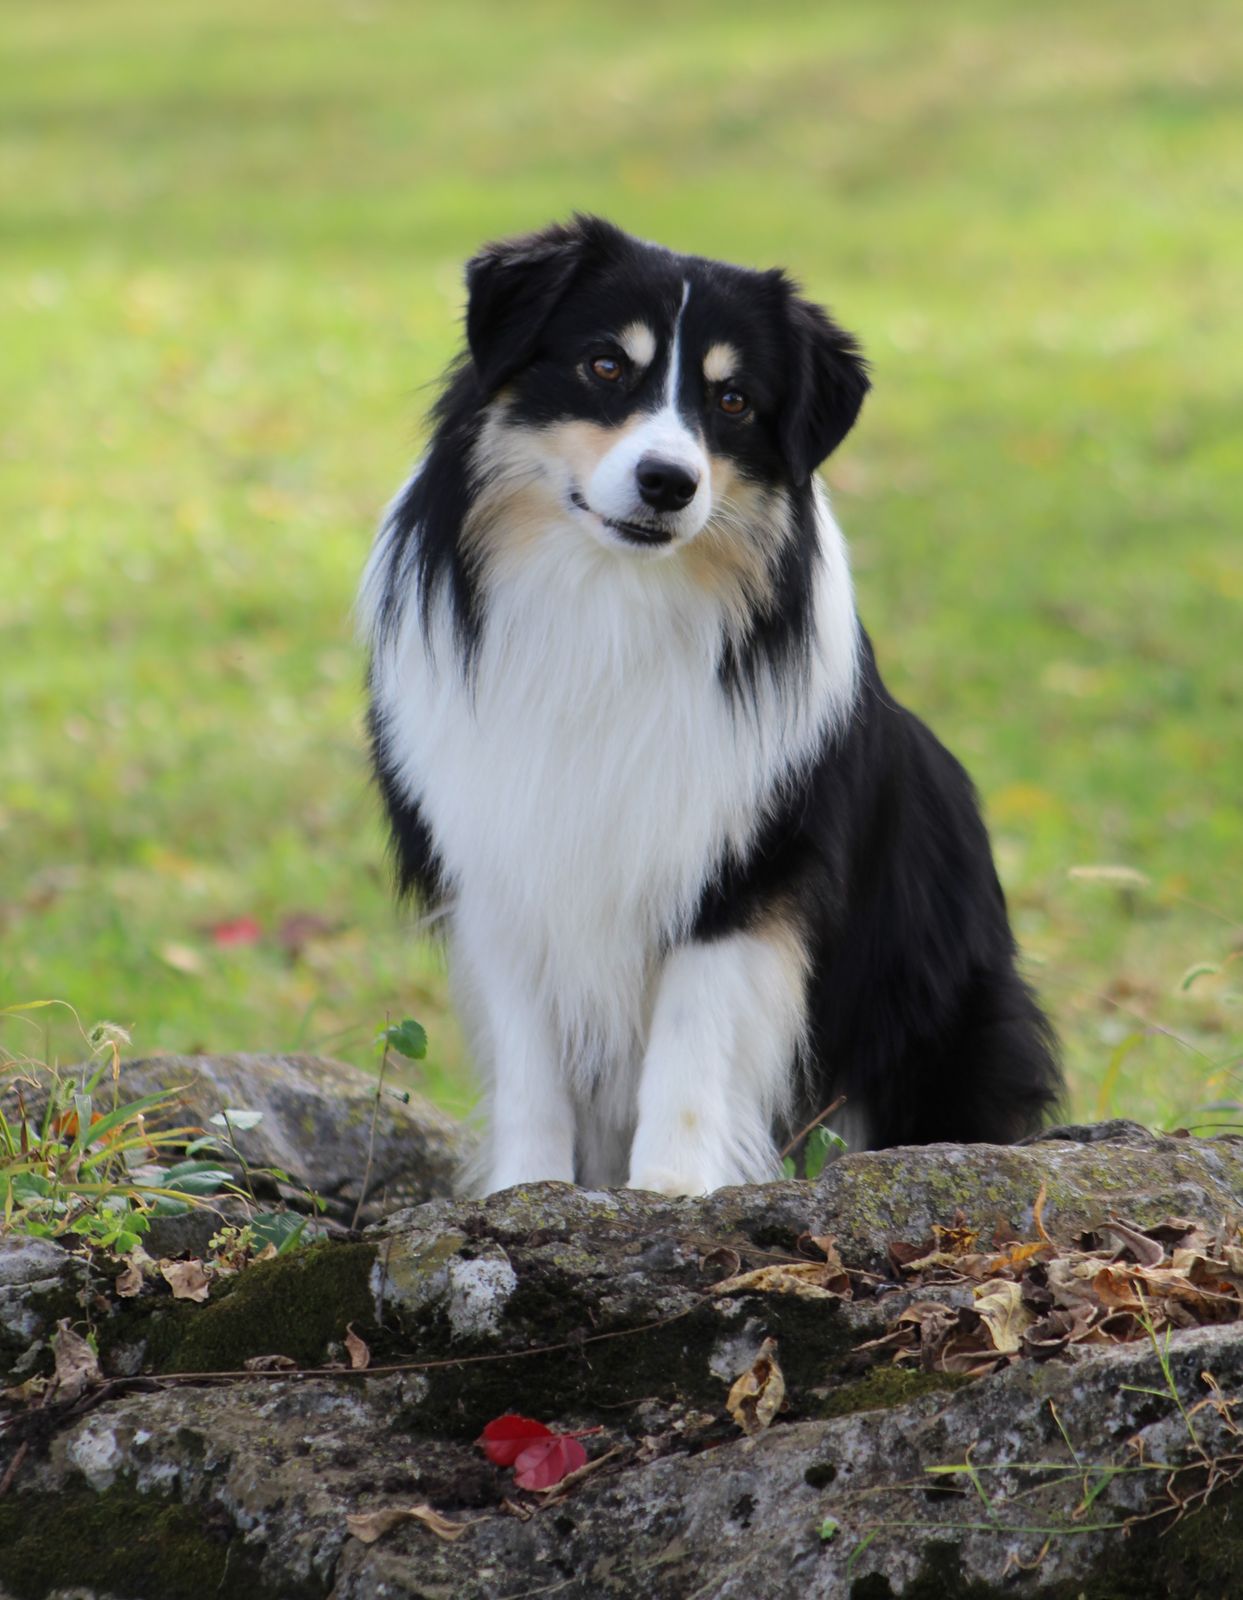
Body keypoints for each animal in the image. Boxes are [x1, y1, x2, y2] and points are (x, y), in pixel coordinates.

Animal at [356, 212, 1055, 1196]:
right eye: (605, 365)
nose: (668, 483)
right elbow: (532, 1071)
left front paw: (671, 1193)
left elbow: (691, 1052)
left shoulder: (741, 874)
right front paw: (529, 1192)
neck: (610, 608)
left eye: (731, 402)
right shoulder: (500, 867)